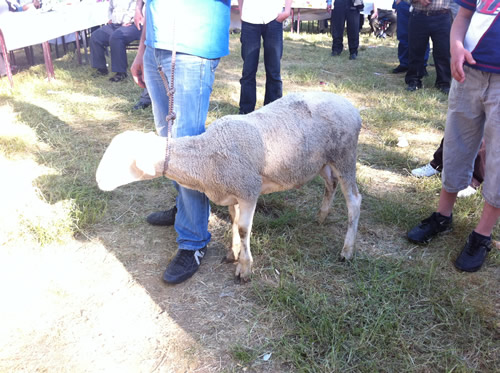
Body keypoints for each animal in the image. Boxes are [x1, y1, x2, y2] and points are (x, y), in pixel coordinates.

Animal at [95, 91, 362, 280]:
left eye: (120, 161)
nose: (98, 180)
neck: (206, 154)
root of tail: (352, 107)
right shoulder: (232, 192)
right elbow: (234, 222)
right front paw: (233, 253)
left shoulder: (248, 190)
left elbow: (243, 229)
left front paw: (245, 268)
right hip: (322, 160)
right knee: (331, 183)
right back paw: (321, 216)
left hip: (345, 156)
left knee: (354, 201)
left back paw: (347, 251)